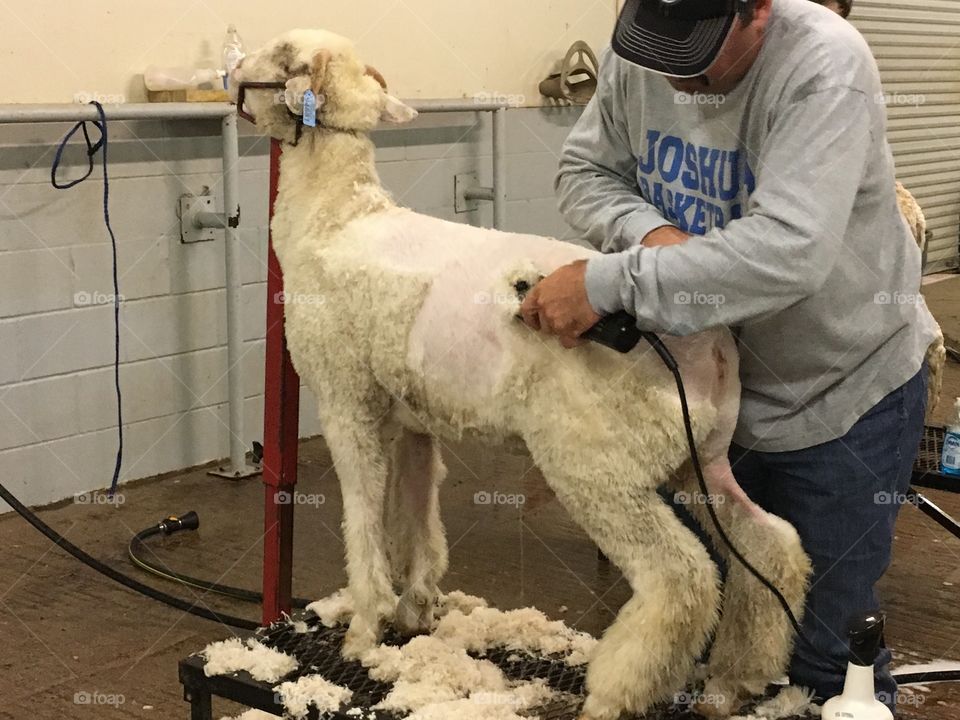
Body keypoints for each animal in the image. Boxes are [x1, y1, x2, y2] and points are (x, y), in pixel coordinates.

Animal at [231, 29, 808, 720]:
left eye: (281, 55)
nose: (230, 75)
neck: (335, 219)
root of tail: (710, 344)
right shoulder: (415, 419)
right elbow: (416, 513)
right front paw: (416, 606)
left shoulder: (348, 404)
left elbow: (365, 518)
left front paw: (365, 630)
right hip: (702, 456)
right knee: (769, 545)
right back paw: (739, 676)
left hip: (595, 461)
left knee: (682, 576)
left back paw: (615, 691)